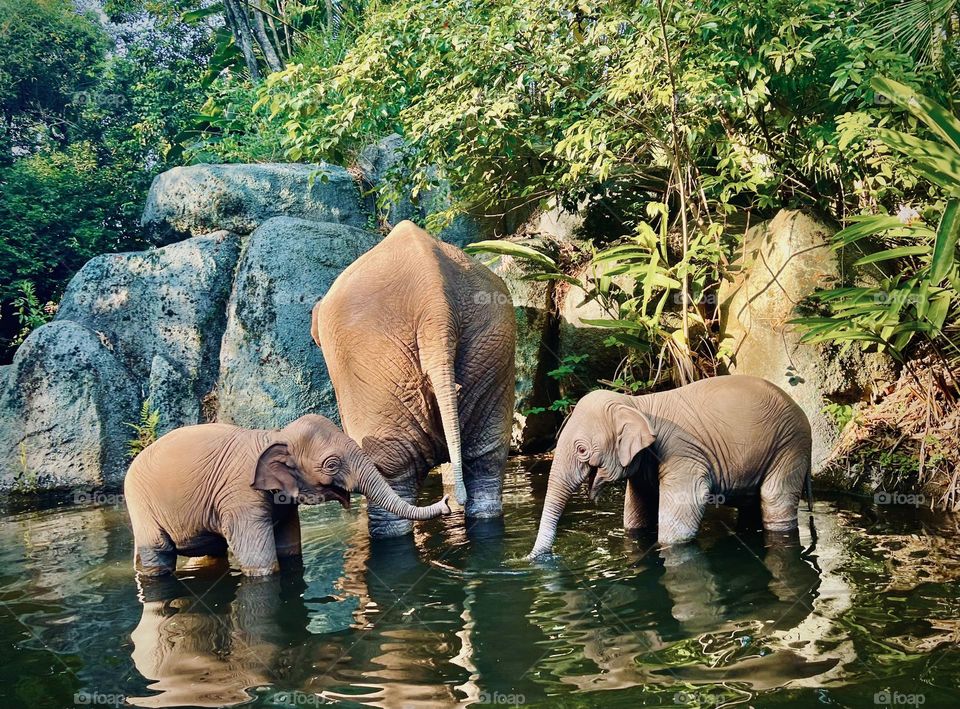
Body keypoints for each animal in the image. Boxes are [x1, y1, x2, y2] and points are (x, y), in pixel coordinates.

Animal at [124, 414, 450, 576]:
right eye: (332, 465)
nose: (447, 503)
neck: (276, 435)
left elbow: (290, 549)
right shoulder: (240, 497)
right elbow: (261, 563)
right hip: (140, 505)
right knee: (158, 551)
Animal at [528, 375, 812, 557]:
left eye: (582, 450)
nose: (541, 559)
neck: (637, 405)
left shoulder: (682, 454)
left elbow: (686, 508)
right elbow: (636, 512)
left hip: (790, 446)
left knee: (774, 498)